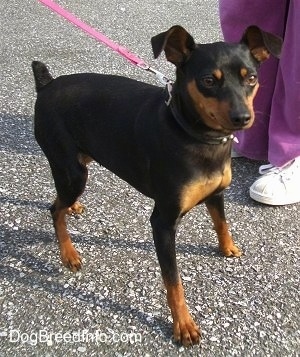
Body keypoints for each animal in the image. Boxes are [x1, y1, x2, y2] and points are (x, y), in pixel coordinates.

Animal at [32, 25, 282, 344]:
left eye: (251, 78)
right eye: (208, 81)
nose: (242, 117)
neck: (195, 135)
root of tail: (47, 85)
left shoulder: (216, 193)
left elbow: (221, 223)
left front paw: (228, 247)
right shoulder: (162, 222)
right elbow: (173, 282)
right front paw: (183, 325)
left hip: (78, 162)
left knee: (60, 201)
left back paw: (72, 207)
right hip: (72, 170)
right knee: (54, 210)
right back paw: (69, 254)